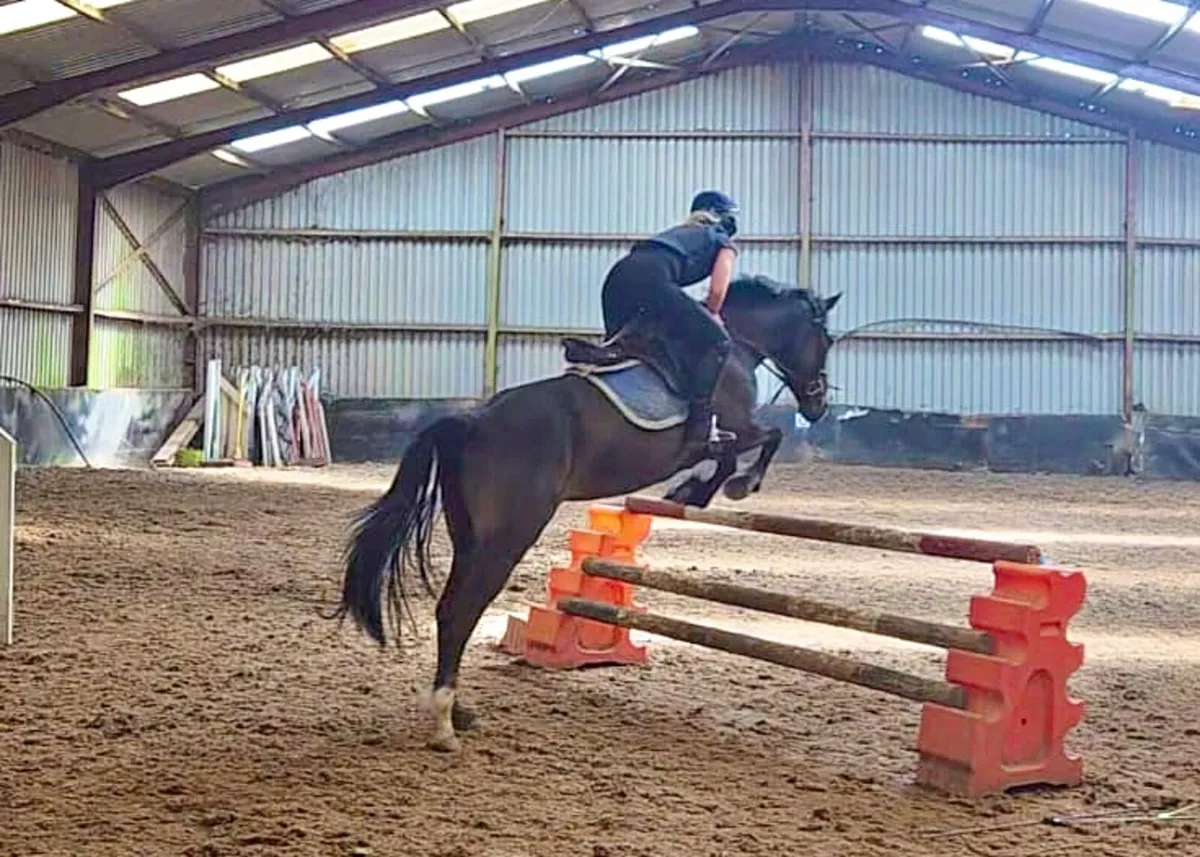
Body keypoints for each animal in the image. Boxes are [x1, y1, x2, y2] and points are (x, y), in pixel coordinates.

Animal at [333, 273, 842, 751]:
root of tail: (474, 419)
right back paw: (444, 724)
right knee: (462, 611)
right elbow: (758, 443)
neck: (737, 344)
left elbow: (742, 449)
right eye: (826, 339)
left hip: (471, 535)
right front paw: (721, 488)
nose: (818, 405)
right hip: (510, 535)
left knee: (450, 611)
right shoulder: (735, 425)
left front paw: (696, 488)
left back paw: (459, 711)